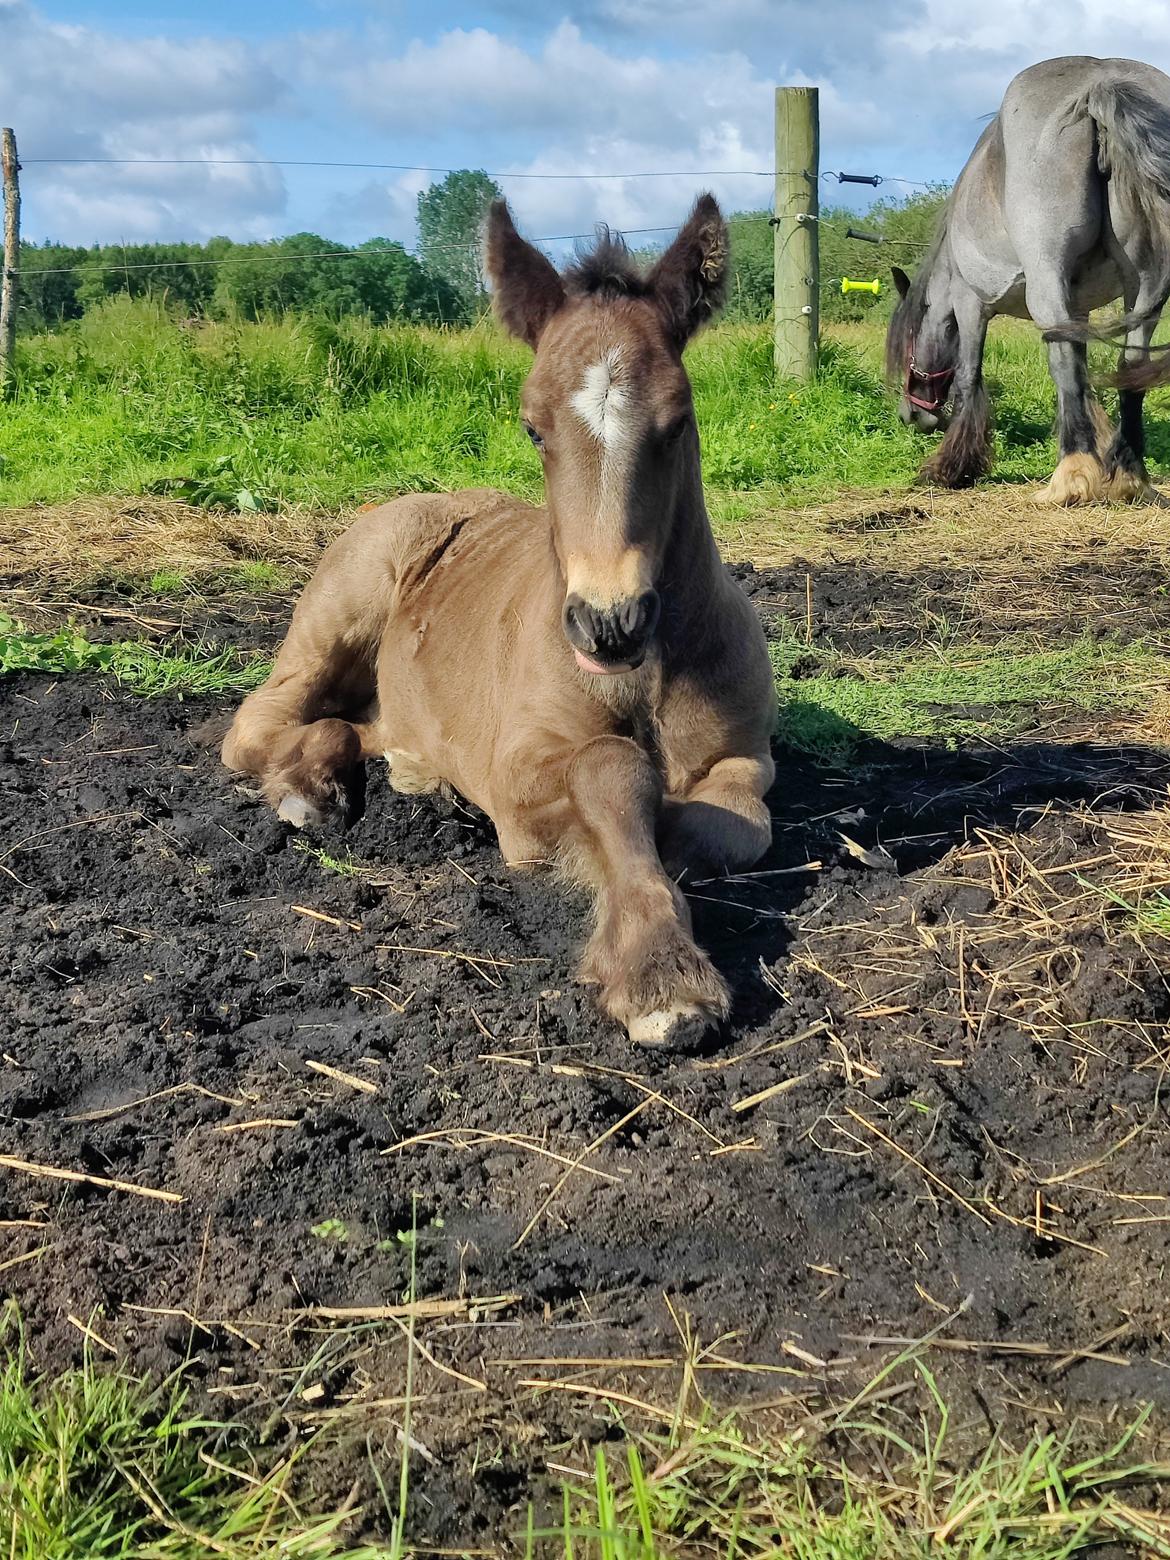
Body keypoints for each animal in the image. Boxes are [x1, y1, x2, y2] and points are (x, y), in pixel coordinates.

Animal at [224, 195, 783, 1048]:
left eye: (679, 420)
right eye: (533, 426)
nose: (609, 624)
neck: (647, 675)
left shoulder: (748, 759)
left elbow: (723, 825)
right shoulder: (519, 771)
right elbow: (612, 772)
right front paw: (660, 975)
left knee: (363, 728)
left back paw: (402, 774)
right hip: (335, 619)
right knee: (257, 725)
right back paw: (308, 790)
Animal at [886, 54, 1170, 502]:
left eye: (910, 343)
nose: (910, 414)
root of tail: (1099, 83)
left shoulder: (970, 305)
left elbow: (969, 377)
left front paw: (952, 467)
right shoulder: (1081, 308)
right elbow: (1085, 377)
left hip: (1046, 284)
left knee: (1063, 360)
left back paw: (1070, 477)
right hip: (1143, 289)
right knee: (1131, 364)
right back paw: (1127, 476)